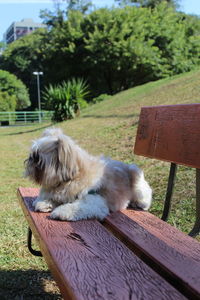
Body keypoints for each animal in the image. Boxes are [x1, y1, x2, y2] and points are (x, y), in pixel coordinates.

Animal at [25, 127, 153, 221]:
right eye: (32, 155)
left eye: (37, 158)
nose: (29, 159)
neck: (70, 180)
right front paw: (44, 203)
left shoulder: (94, 201)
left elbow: (75, 207)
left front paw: (60, 212)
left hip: (139, 188)